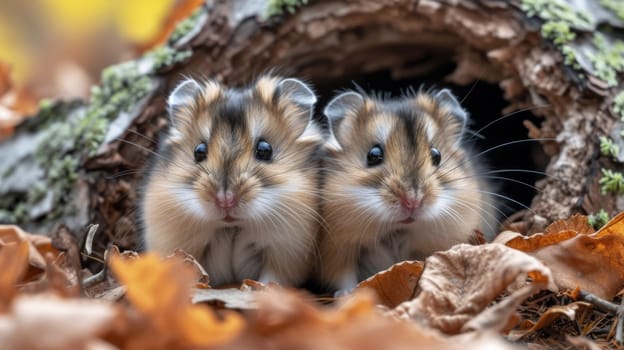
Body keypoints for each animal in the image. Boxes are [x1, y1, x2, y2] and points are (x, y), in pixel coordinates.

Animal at [142, 75, 324, 286]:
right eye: (199, 151)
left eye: (265, 150)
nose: (225, 201)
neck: (232, 226)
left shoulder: (286, 253)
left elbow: (272, 279)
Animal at [316, 88, 498, 292]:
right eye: (373, 155)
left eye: (437, 155)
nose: (413, 201)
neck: (398, 230)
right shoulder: (337, 249)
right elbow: (344, 276)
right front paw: (347, 294)